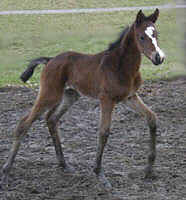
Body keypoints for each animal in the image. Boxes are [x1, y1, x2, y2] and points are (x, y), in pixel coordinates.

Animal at [1, 9, 165, 188]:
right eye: (141, 37)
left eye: (156, 34)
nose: (159, 58)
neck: (121, 66)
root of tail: (50, 60)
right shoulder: (106, 99)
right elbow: (104, 132)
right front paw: (99, 174)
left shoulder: (130, 97)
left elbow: (152, 118)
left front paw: (149, 169)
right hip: (49, 95)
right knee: (24, 123)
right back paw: (6, 171)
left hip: (70, 95)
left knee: (51, 119)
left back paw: (64, 164)